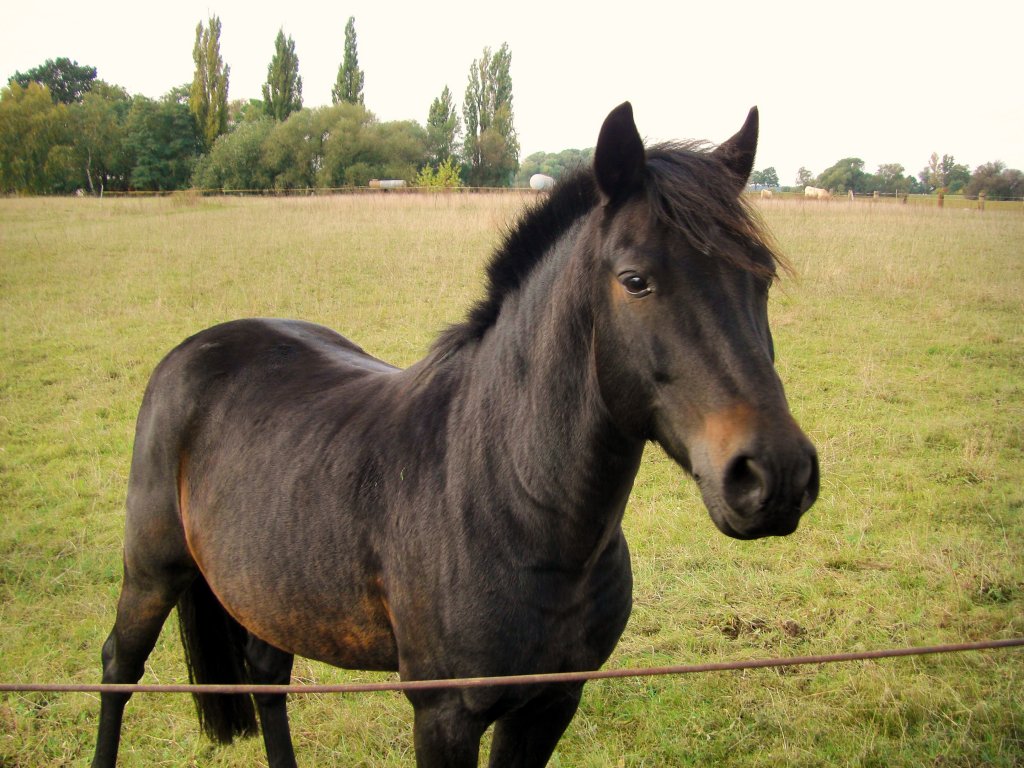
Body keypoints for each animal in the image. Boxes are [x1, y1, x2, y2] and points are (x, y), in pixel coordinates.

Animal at [92, 103, 819, 768]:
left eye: (762, 278)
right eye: (635, 281)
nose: (775, 474)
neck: (509, 498)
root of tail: (196, 347)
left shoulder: (550, 705)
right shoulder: (446, 715)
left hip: (268, 588)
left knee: (267, 676)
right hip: (153, 571)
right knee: (118, 668)